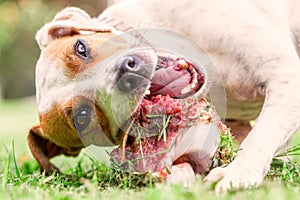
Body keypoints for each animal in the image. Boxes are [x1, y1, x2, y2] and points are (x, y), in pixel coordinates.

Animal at [28, 0, 300, 193]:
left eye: (81, 48)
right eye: (83, 117)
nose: (125, 73)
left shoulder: (285, 74)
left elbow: (260, 137)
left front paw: (237, 173)